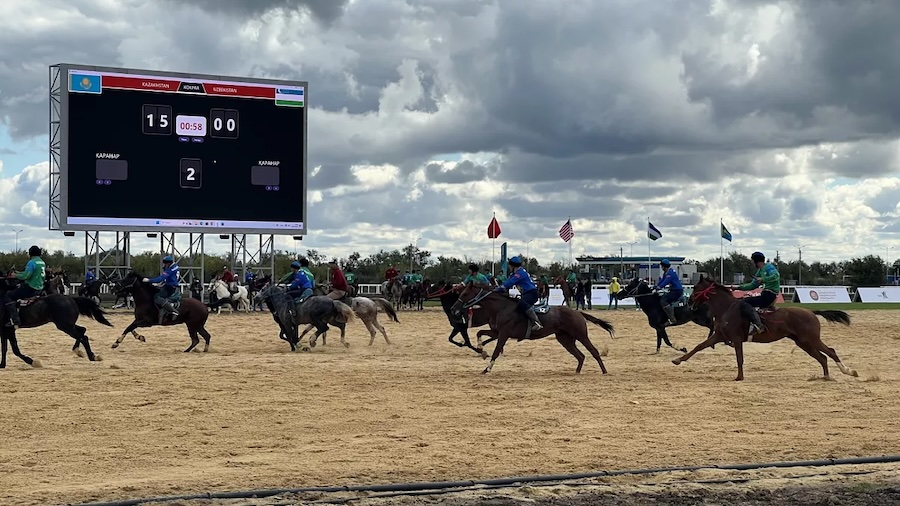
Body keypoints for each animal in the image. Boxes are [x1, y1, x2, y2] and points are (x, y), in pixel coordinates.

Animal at [448, 282, 616, 374]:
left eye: (465, 293)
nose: (453, 309)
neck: (501, 308)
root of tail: (577, 312)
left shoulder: (503, 334)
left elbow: (496, 352)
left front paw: (486, 369)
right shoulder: (496, 332)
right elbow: (480, 333)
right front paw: (481, 349)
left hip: (581, 335)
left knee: (593, 351)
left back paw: (604, 371)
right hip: (565, 339)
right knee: (580, 356)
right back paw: (577, 372)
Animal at [676, 276, 856, 380]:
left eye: (696, 288)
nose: (689, 302)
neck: (727, 308)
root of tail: (811, 312)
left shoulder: (736, 339)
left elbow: (739, 358)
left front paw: (739, 377)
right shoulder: (719, 335)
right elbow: (699, 346)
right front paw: (678, 359)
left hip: (811, 339)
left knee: (830, 351)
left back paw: (849, 371)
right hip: (803, 342)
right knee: (822, 357)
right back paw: (826, 376)